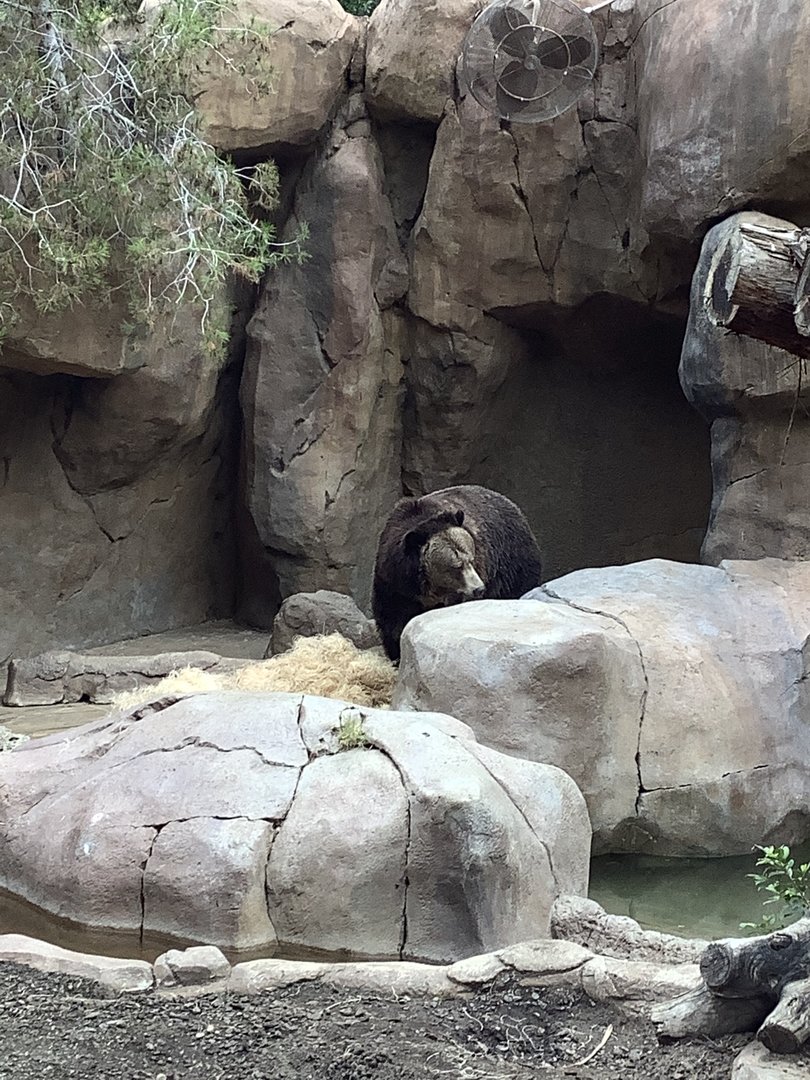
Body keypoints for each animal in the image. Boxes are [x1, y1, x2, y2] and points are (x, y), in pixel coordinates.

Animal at [372, 484, 542, 662]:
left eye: (471, 559)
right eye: (457, 565)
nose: (478, 589)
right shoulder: (396, 582)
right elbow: (392, 618)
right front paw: (397, 655)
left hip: (511, 564)